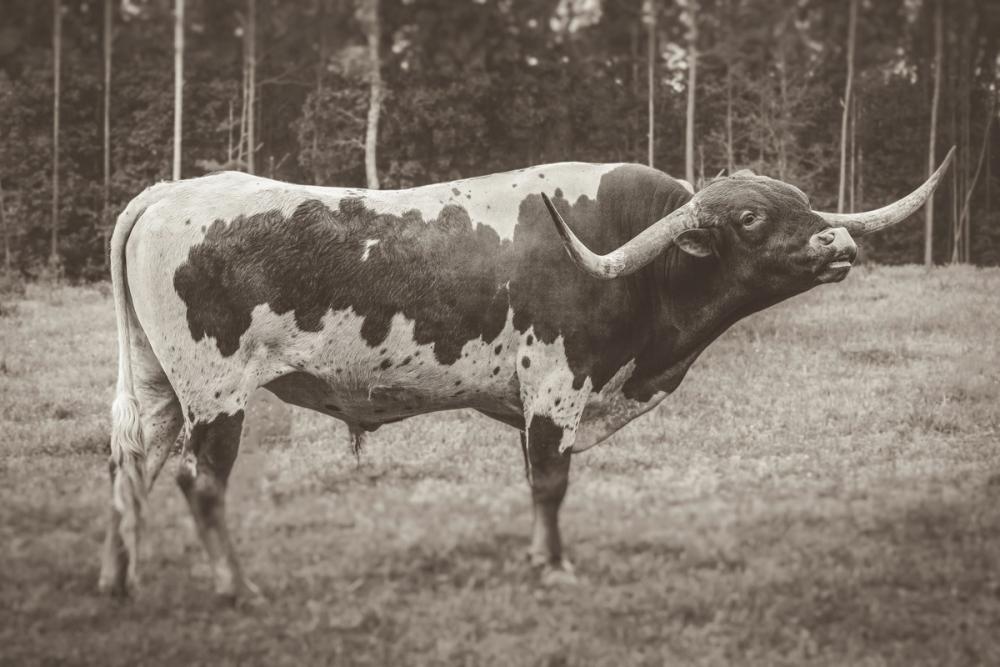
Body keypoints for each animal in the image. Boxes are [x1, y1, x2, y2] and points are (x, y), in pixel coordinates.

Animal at [99, 149, 954, 601]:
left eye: (800, 200)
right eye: (749, 218)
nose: (839, 243)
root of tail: (169, 191)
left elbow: (536, 480)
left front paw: (539, 558)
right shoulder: (556, 385)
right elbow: (551, 480)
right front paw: (556, 565)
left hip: (157, 385)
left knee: (130, 466)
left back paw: (120, 579)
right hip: (216, 392)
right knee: (199, 482)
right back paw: (236, 585)